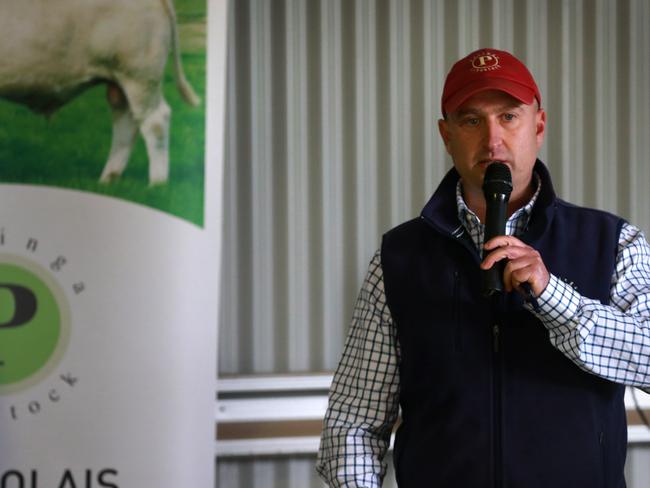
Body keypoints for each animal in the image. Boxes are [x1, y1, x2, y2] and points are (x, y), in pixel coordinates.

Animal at [0, 0, 200, 185]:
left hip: (139, 74)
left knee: (155, 122)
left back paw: (156, 184)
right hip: (121, 81)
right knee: (126, 122)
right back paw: (109, 179)